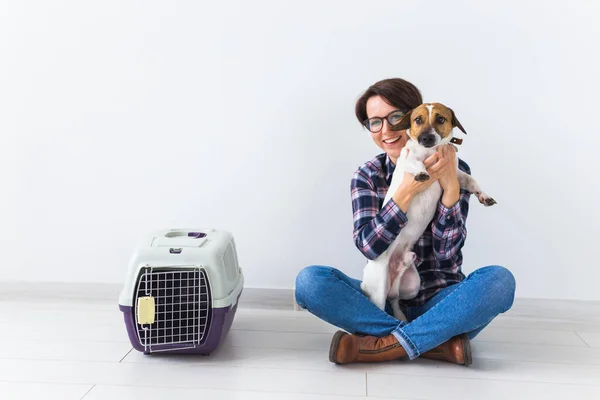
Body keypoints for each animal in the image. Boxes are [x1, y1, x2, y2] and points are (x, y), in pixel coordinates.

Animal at [358, 101, 494, 320]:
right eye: (417, 120)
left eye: (440, 119)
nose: (426, 138)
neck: (432, 151)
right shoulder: (408, 159)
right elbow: (416, 162)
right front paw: (422, 172)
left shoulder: (456, 174)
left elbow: (471, 180)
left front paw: (484, 196)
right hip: (379, 288)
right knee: (380, 307)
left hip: (412, 285)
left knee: (395, 300)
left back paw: (401, 313)